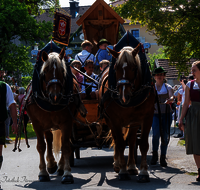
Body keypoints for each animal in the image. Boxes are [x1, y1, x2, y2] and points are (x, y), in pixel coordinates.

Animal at [26, 48, 86, 183]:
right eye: (45, 71)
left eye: (62, 71)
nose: (55, 96)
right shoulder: (37, 124)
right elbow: (41, 146)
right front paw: (43, 172)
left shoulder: (67, 122)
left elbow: (66, 146)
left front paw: (67, 173)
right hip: (47, 124)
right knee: (48, 140)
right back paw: (51, 164)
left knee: (63, 142)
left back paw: (60, 167)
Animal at [97, 44, 155, 183]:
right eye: (116, 68)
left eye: (134, 68)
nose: (124, 96)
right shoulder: (115, 120)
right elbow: (120, 143)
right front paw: (123, 171)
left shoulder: (147, 118)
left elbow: (143, 144)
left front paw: (144, 172)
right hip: (110, 121)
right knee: (117, 140)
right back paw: (118, 164)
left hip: (133, 122)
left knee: (132, 141)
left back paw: (132, 167)